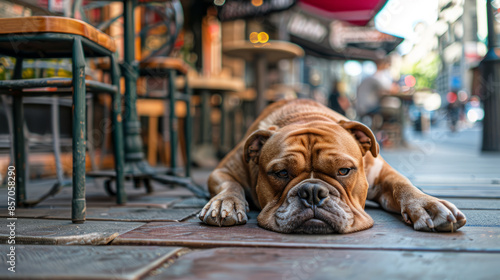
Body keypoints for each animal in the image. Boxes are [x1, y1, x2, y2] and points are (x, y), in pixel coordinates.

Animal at [198, 99, 464, 233]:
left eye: (344, 170)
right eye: (281, 173)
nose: (313, 192)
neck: (306, 117)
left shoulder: (382, 173)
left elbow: (402, 184)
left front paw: (427, 205)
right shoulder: (222, 171)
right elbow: (230, 185)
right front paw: (224, 204)